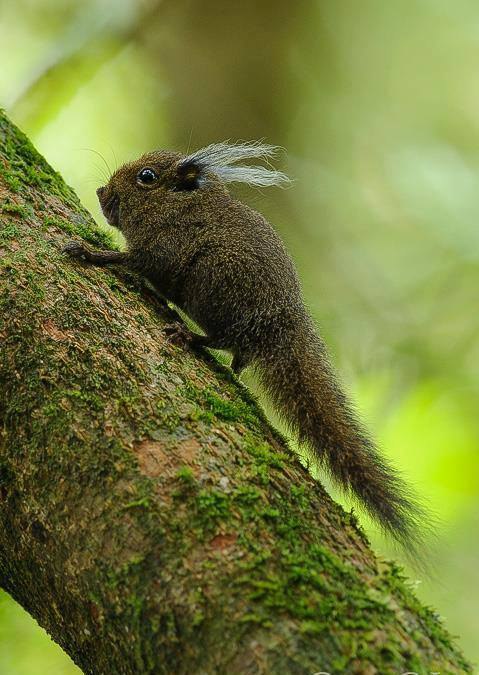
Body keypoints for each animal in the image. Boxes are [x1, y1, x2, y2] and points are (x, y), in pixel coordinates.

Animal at [63, 141, 428, 556]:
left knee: (229, 339)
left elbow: (128, 259)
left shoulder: (162, 249)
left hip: (216, 282)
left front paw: (90, 252)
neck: (180, 209)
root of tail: (285, 328)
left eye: (147, 177)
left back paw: (190, 335)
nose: (100, 193)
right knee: (241, 357)